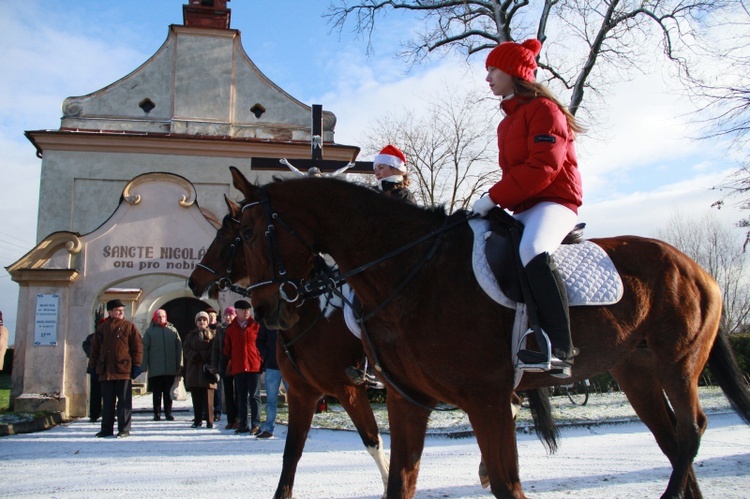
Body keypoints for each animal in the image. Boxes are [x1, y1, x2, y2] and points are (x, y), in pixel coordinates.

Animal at [188, 197, 390, 498]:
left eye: (223, 235)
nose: (193, 281)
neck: (310, 312)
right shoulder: (301, 392)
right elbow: (292, 450)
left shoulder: (349, 389)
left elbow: (372, 440)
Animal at [232, 169, 750, 499]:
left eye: (250, 232)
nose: (265, 309)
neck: (413, 269)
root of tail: (693, 266)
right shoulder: (406, 400)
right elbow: (398, 481)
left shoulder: (487, 400)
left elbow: (506, 484)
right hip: (636, 374)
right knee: (672, 439)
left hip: (678, 365)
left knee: (691, 430)